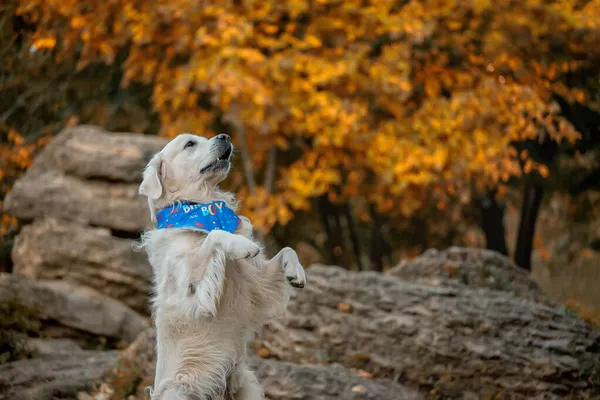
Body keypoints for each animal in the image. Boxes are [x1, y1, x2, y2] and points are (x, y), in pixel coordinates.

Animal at [138, 134, 308, 400]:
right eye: (189, 144)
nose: (225, 136)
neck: (201, 207)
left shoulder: (257, 287)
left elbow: (287, 250)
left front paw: (295, 271)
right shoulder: (189, 294)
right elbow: (215, 235)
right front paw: (241, 245)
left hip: (246, 386)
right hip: (179, 392)